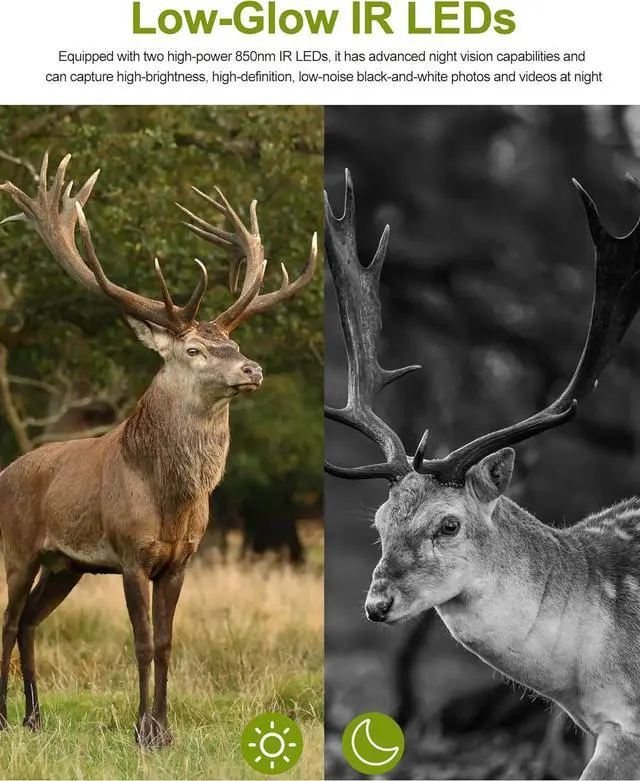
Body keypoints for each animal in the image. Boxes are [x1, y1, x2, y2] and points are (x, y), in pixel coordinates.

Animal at [0, 153, 317, 749]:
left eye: (233, 343)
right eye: (193, 349)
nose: (252, 368)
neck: (171, 499)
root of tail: (8, 469)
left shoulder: (181, 558)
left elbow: (168, 642)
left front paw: (165, 730)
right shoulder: (130, 553)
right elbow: (143, 642)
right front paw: (142, 731)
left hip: (66, 564)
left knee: (29, 620)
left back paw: (33, 716)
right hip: (20, 548)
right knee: (8, 620)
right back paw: (9, 719)